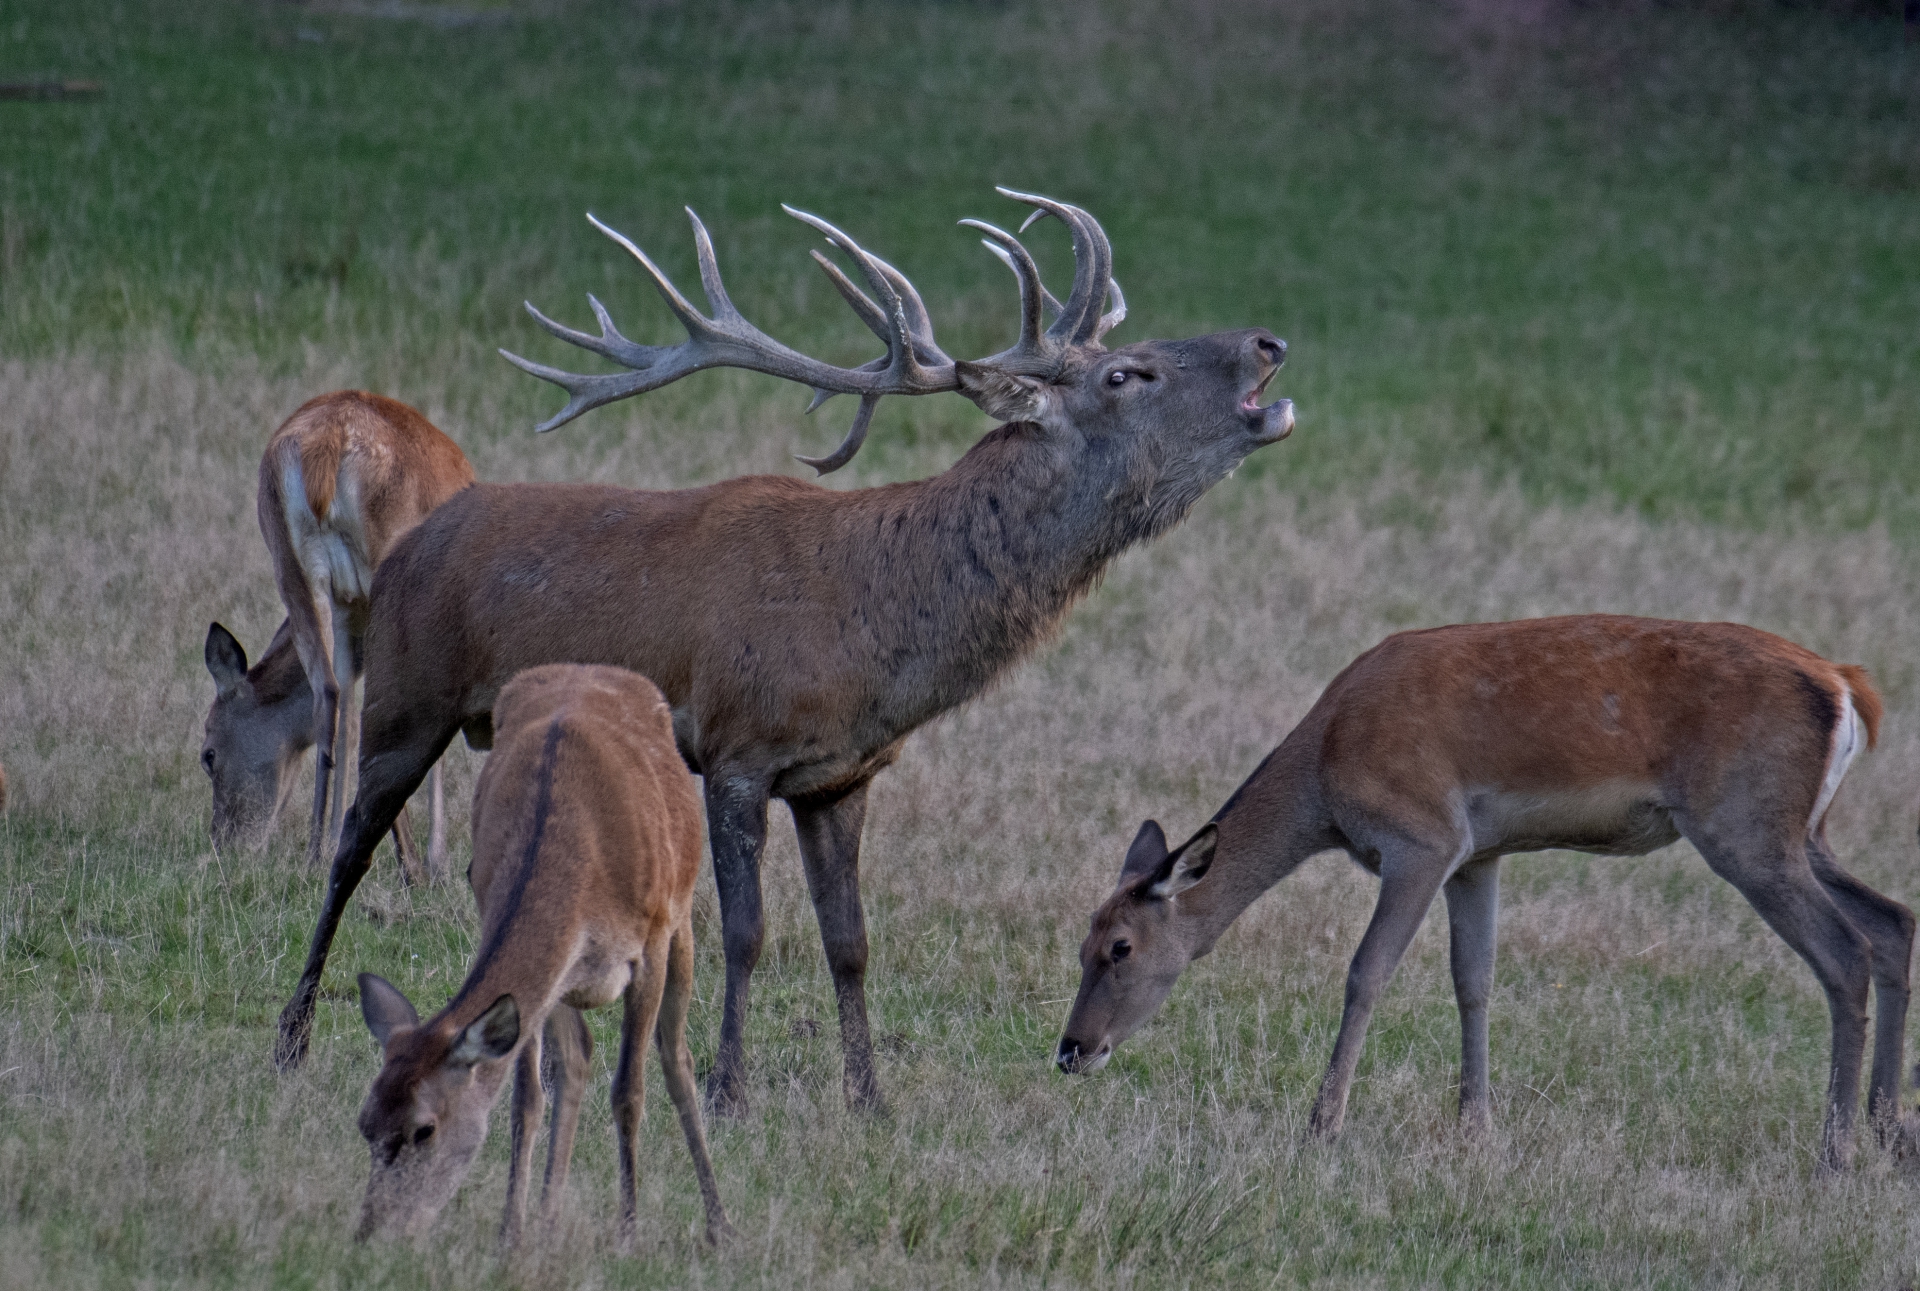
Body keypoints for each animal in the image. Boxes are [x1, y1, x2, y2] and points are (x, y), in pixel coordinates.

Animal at [200, 388, 474, 883]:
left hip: (289, 561)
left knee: (328, 689)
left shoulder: (348, 607)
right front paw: (436, 859)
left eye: (207, 754)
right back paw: (409, 863)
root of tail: (327, 447)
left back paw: (319, 851)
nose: (224, 845)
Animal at [270, 194, 1297, 1121]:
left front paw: (870, 1098)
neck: (868, 629)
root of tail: (405, 552)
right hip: (407, 696)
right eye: (1130, 371)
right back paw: (296, 1033)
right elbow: (747, 932)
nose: (1268, 342)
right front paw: (729, 1092)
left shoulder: (841, 776)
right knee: (349, 847)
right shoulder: (736, 748)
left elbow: (851, 941)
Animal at [353, 660, 725, 1244]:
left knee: (676, 1057)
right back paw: (548, 1216)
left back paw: (718, 1222)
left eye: (424, 1129)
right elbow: (526, 1099)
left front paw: (628, 1232)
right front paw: (512, 1230)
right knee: (576, 1059)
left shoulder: (650, 943)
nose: (372, 1231)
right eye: (365, 1123)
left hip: (681, 916)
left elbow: (630, 1090)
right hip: (566, 984)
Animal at [1059, 614, 1912, 1168]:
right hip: (1802, 829)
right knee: (1894, 919)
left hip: (1746, 825)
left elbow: (1367, 971)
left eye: (1120, 946)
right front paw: (1476, 1127)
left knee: (1845, 950)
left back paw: (1836, 1147)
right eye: (1079, 942)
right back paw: (1889, 1128)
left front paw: (1323, 1125)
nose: (1071, 1049)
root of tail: (1849, 688)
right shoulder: (1479, 854)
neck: (1325, 781)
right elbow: (1474, 979)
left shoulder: (1423, 836)